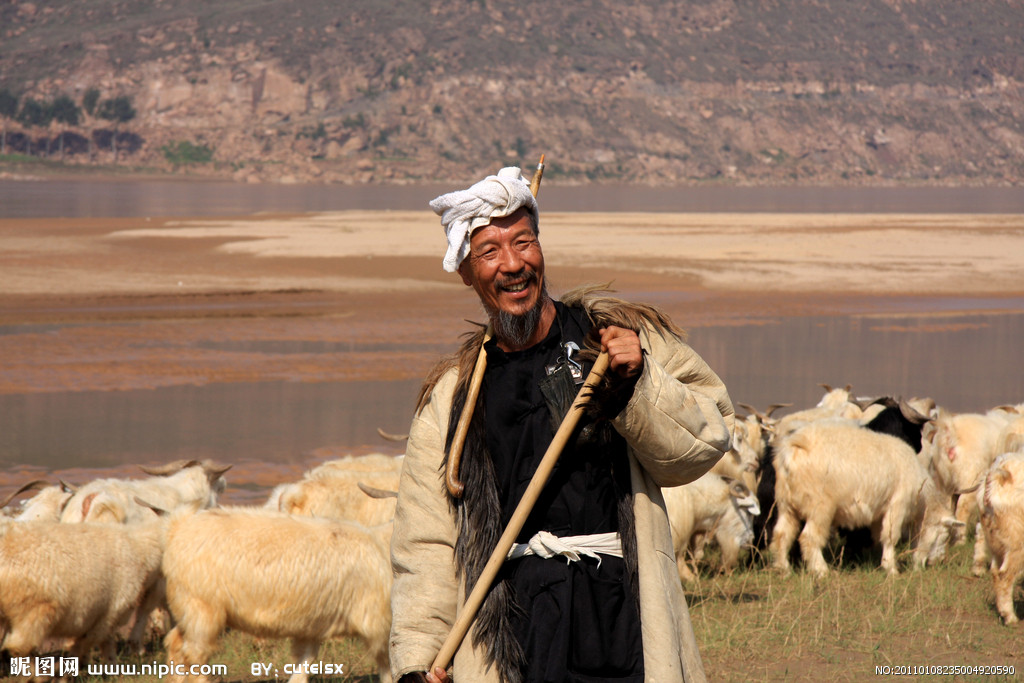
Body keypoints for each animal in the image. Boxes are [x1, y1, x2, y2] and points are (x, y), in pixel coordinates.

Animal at [161, 507, 389, 683]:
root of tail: (178, 527)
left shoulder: (314, 622)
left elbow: (304, 660)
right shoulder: (376, 620)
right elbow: (386, 662)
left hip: (187, 607)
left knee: (175, 645)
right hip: (202, 608)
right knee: (195, 655)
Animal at [770, 421, 954, 577]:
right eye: (944, 536)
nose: (937, 563)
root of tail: (794, 445)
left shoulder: (880, 513)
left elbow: (879, 537)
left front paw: (882, 562)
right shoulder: (897, 505)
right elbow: (890, 537)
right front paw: (892, 570)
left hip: (786, 505)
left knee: (781, 534)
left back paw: (784, 570)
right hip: (819, 507)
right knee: (809, 538)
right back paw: (821, 571)